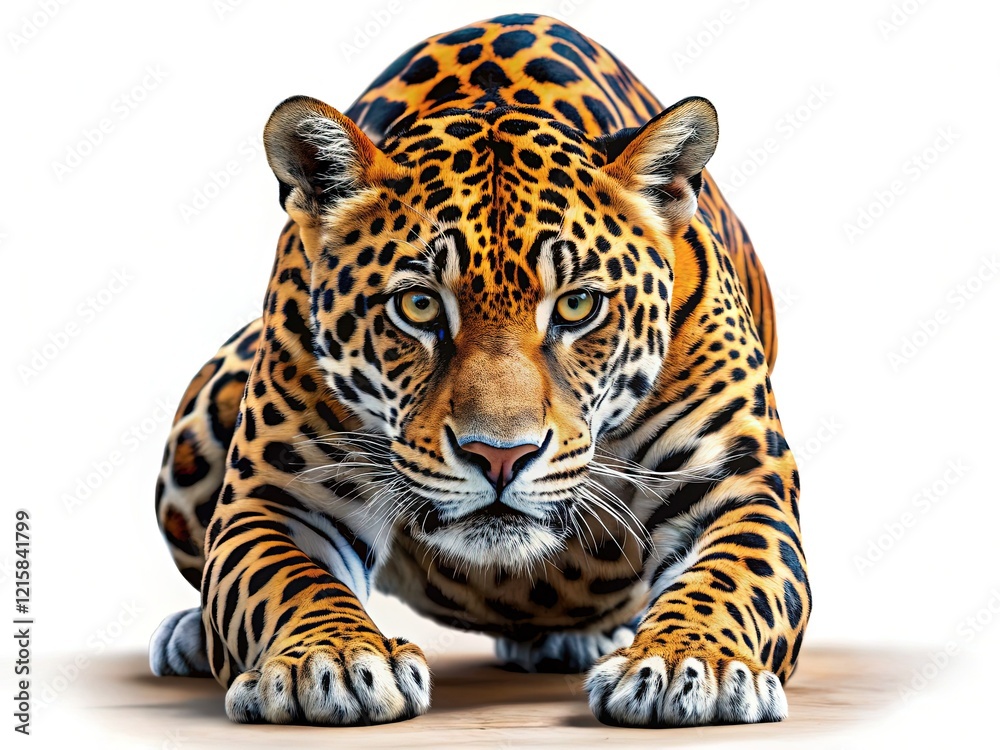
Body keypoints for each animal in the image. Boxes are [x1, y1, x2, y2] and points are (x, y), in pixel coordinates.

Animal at [150, 12, 809, 729]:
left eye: (577, 305)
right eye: (417, 305)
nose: (499, 457)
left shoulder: (735, 481)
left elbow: (728, 580)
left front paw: (690, 666)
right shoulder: (281, 492)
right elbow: (286, 583)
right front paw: (329, 664)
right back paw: (189, 634)